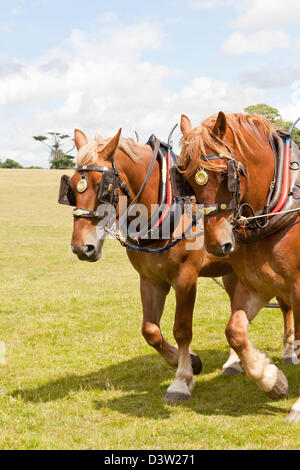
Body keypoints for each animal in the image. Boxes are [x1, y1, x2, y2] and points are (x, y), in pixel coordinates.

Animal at [67, 127, 294, 400]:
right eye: (71, 187)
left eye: (102, 187)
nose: (81, 247)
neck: (163, 209)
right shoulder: (150, 279)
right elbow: (150, 331)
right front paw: (190, 362)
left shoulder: (186, 277)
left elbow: (182, 330)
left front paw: (181, 380)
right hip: (233, 273)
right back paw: (233, 363)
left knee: (285, 306)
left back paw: (289, 351)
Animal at [180, 111, 300, 422]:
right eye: (188, 178)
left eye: (225, 174)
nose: (216, 244)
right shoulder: (255, 284)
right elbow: (234, 331)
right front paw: (272, 380)